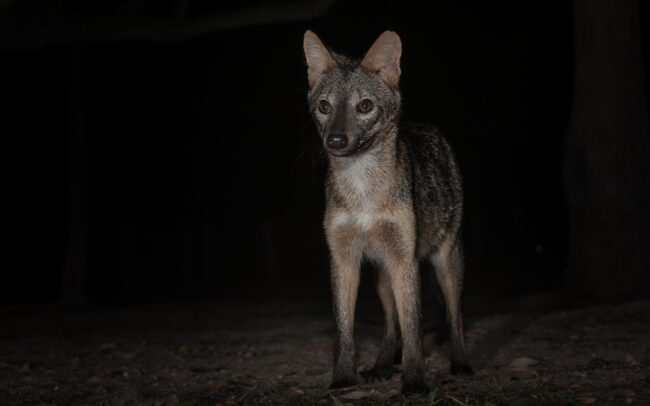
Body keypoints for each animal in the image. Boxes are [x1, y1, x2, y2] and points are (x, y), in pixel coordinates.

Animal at [302, 30, 473, 394]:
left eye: (365, 106)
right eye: (324, 107)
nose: (335, 141)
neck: (363, 190)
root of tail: (427, 127)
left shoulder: (404, 259)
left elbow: (414, 332)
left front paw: (415, 382)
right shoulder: (344, 259)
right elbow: (344, 333)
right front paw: (342, 380)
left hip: (446, 263)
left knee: (454, 318)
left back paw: (461, 363)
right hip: (382, 274)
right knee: (391, 325)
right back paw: (382, 365)